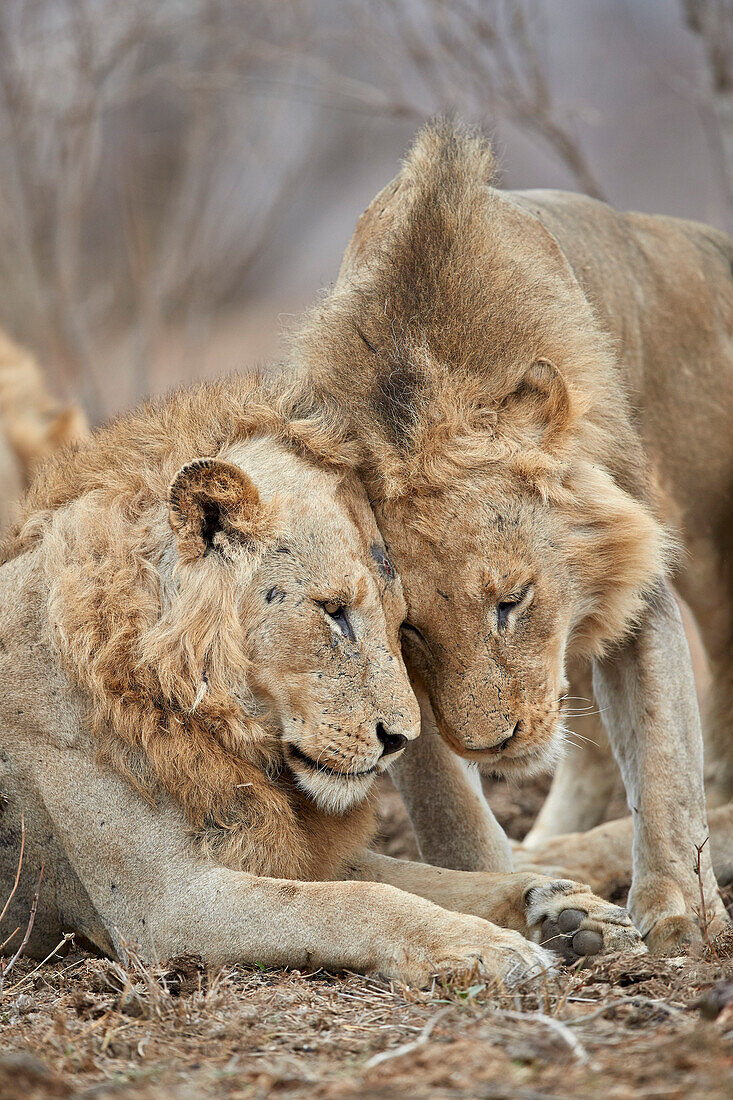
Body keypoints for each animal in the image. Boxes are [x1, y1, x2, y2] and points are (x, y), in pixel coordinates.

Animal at [0, 374, 638, 985]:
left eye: (401, 623)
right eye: (333, 611)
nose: (399, 741)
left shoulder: (305, 854)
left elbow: (432, 879)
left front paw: (566, 912)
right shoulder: (161, 906)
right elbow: (361, 900)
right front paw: (488, 946)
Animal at [292, 120, 730, 954]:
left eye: (512, 601)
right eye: (411, 632)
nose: (493, 745)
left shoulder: (633, 577)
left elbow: (662, 752)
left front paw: (678, 911)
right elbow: (445, 807)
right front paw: (528, 900)